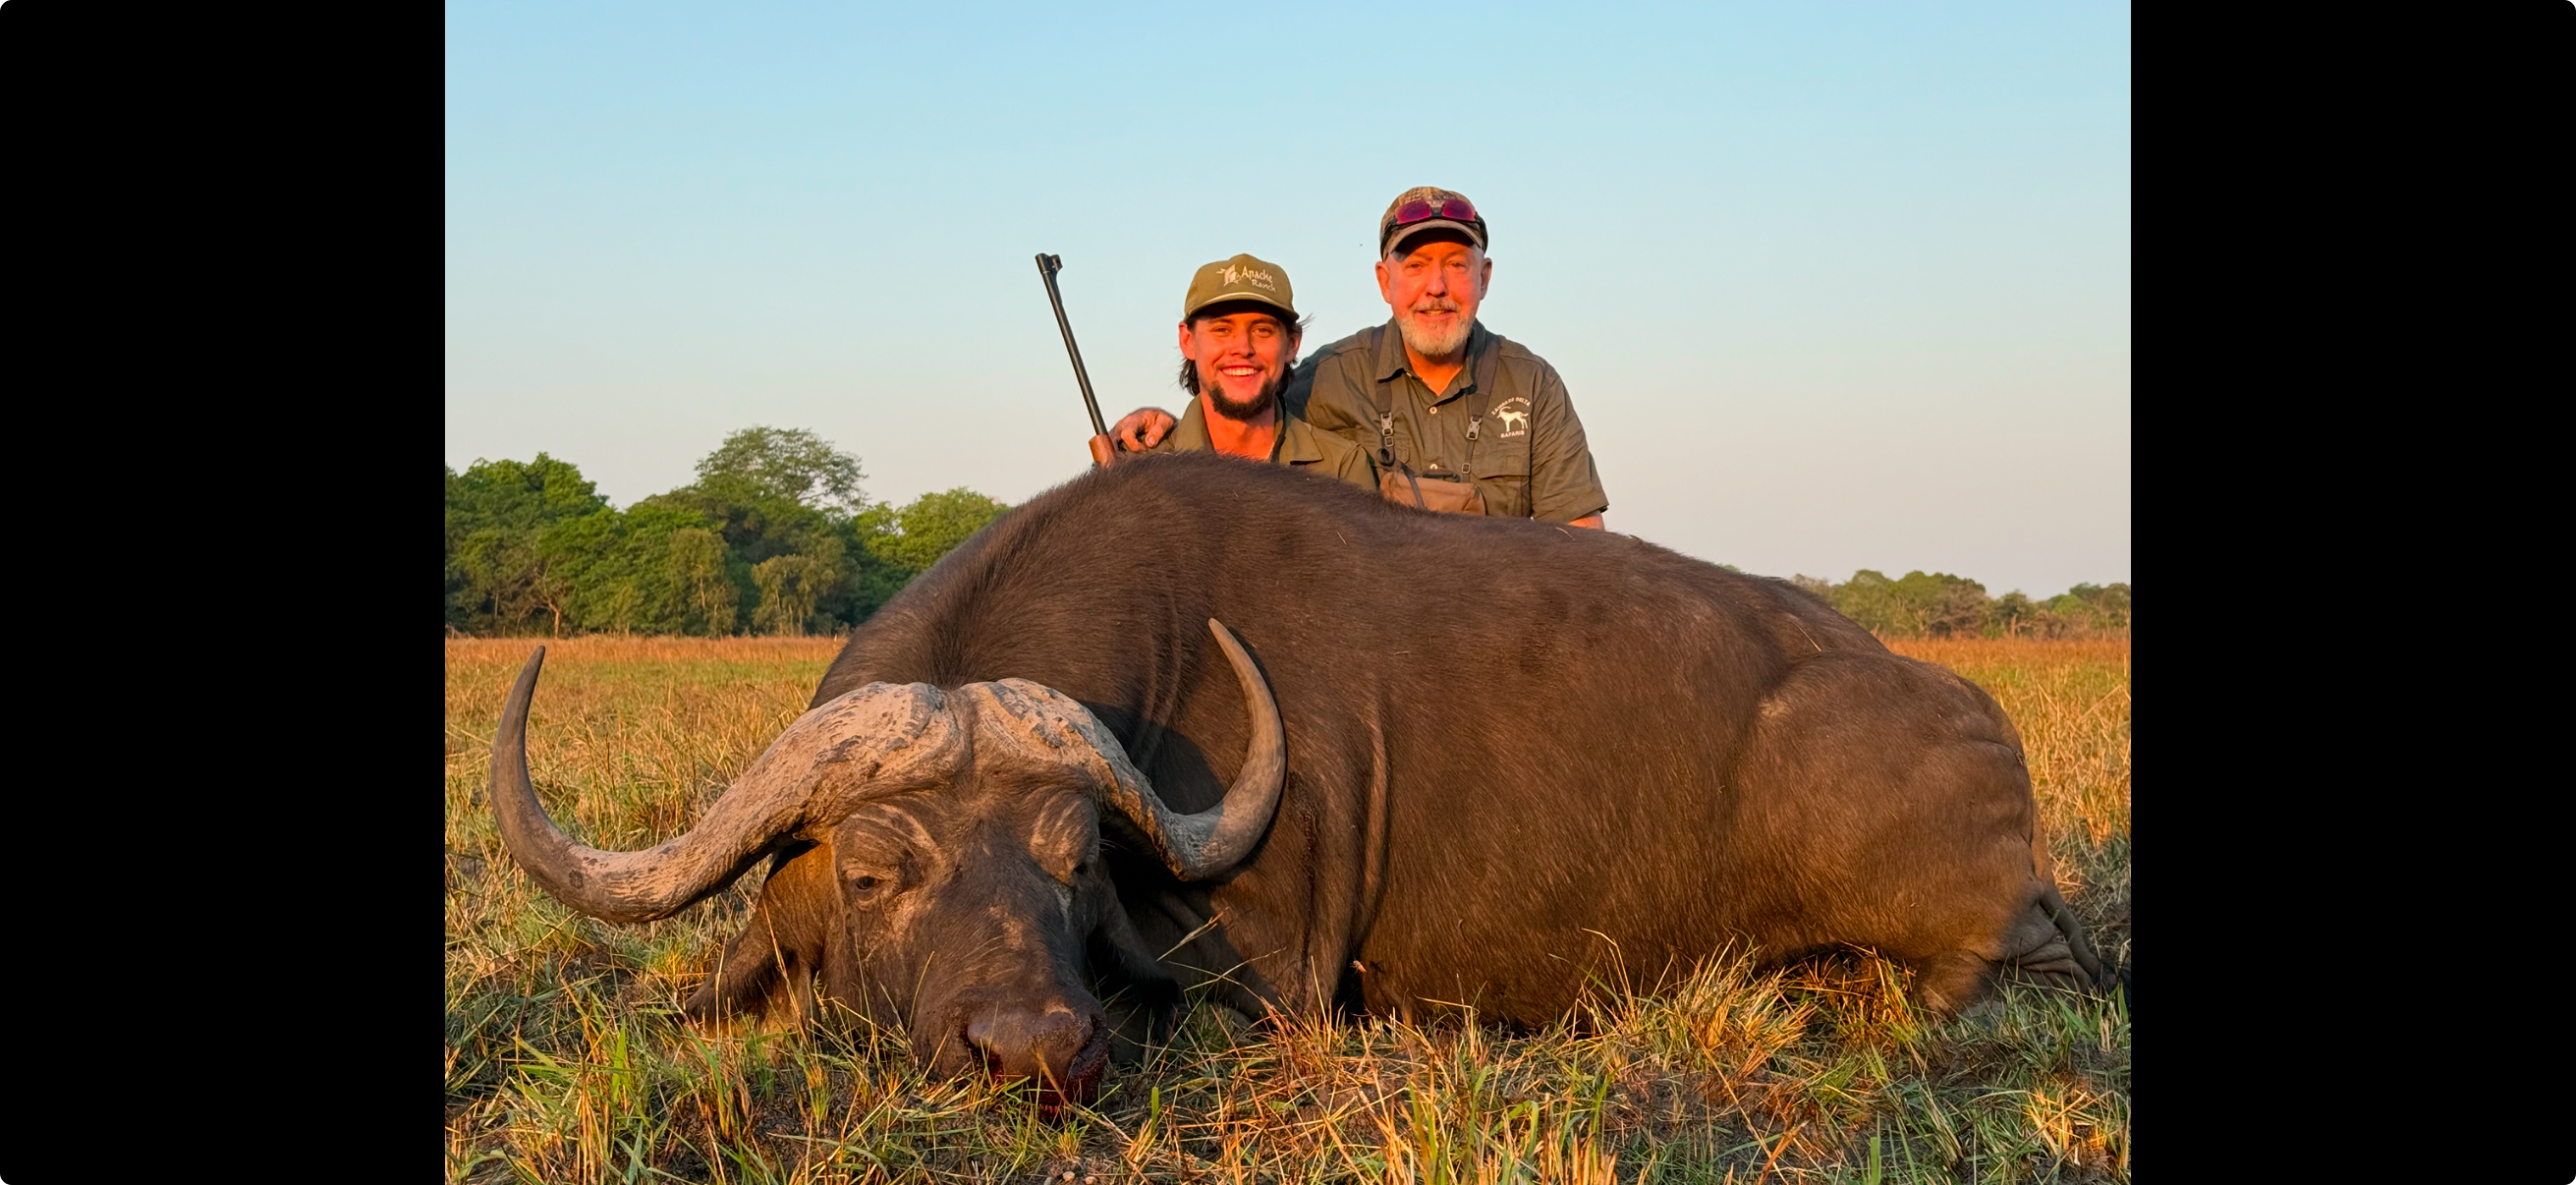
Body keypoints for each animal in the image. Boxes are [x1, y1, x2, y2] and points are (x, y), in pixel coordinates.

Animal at [486, 450, 2112, 1102]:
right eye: (877, 869)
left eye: (1074, 863)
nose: (1036, 1051)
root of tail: (1979, 724)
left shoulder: (1267, 975)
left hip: (1964, 936)